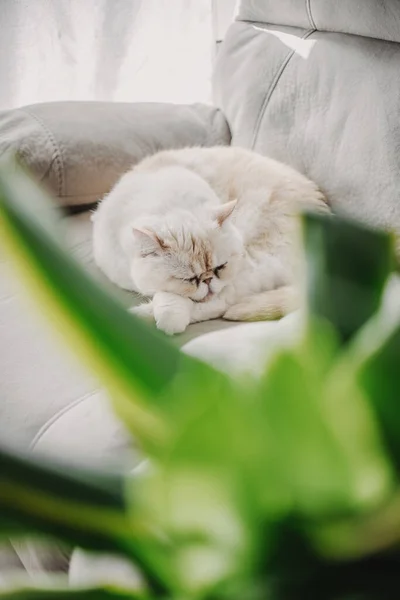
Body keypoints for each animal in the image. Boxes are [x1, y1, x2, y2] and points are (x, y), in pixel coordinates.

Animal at [92, 145, 330, 332]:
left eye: (219, 267)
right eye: (188, 279)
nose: (207, 280)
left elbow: (175, 298)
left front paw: (169, 314)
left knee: (225, 302)